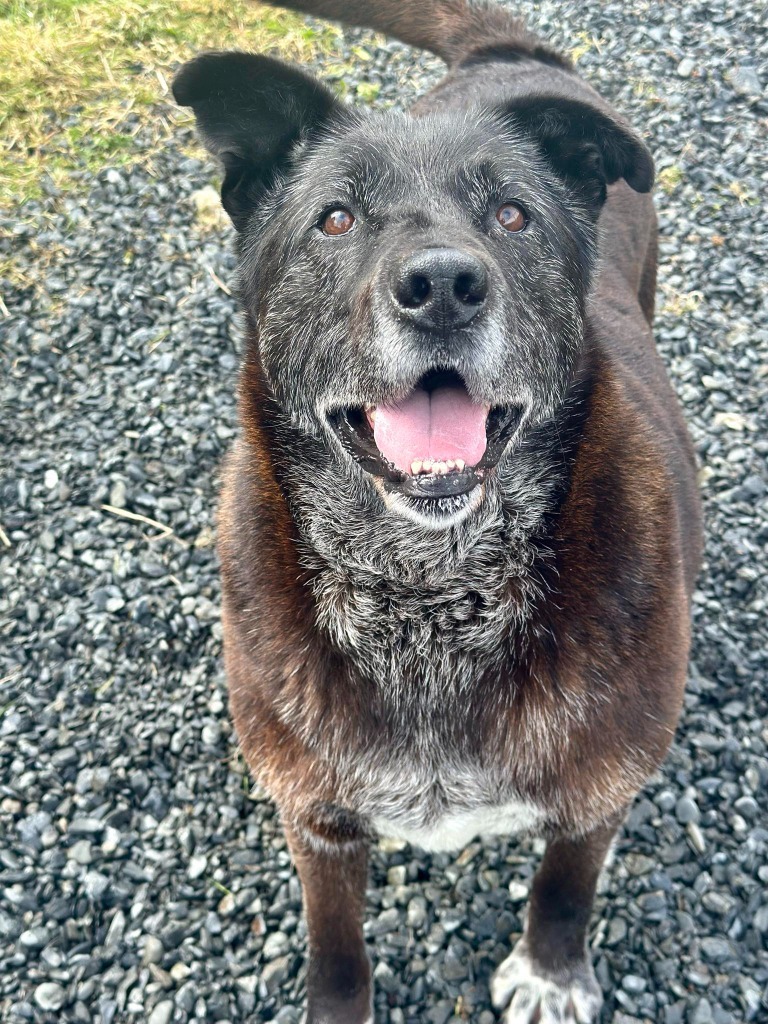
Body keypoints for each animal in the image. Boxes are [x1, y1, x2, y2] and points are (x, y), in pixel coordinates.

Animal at [173, 4, 704, 1019]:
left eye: (512, 215)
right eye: (335, 218)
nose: (445, 285)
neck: (429, 595)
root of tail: (514, 56)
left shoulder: (602, 792)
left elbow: (564, 887)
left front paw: (551, 972)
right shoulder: (317, 817)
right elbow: (336, 946)